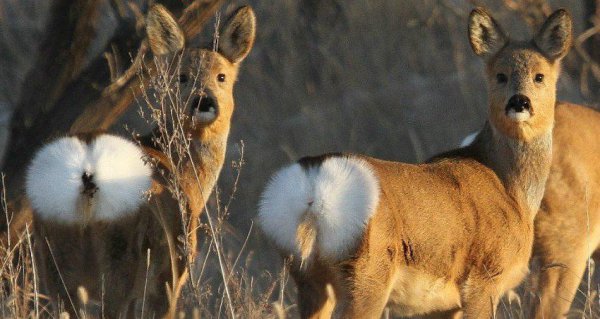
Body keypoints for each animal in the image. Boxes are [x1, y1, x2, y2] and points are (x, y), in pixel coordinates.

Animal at [25, 4, 255, 318]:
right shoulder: (170, 272)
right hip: (121, 256)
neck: (185, 175)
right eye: (181, 76)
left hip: (54, 261)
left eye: (221, 76)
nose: (204, 101)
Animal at [255, 7, 568, 319]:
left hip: (306, 274)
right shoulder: (484, 277)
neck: (510, 188)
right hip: (368, 271)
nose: (519, 102)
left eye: (539, 76)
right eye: (500, 75)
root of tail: (314, 183)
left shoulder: (444, 304)